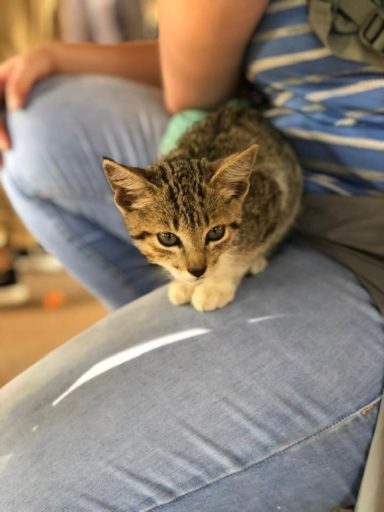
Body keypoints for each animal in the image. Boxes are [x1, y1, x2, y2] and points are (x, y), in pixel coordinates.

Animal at [103, 106, 302, 310]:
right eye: (167, 238)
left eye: (216, 232)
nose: (198, 270)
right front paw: (184, 284)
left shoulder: (274, 197)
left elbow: (240, 256)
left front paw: (216, 286)